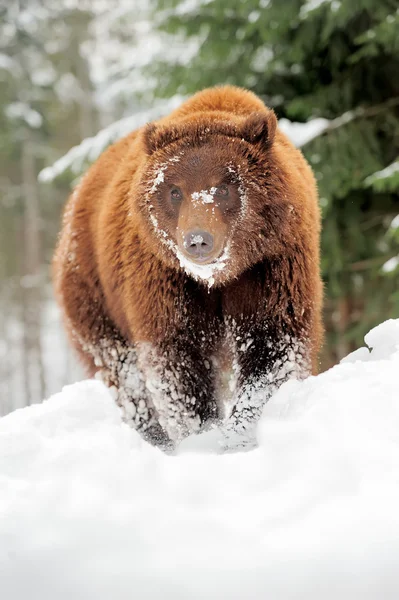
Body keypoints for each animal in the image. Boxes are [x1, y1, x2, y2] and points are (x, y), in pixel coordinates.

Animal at [53, 85, 324, 450]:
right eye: (175, 191)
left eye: (224, 187)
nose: (197, 240)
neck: (219, 278)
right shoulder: (165, 279)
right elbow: (179, 363)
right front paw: (203, 437)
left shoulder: (271, 266)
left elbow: (272, 345)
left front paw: (238, 433)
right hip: (93, 290)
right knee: (122, 370)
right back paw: (154, 436)